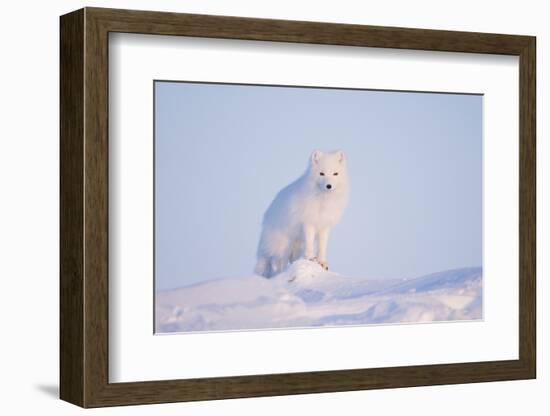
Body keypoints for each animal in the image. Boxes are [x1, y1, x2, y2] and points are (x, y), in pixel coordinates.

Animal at [256, 148, 350, 278]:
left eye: (335, 173)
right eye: (321, 173)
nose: (329, 186)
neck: (323, 202)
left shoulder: (324, 226)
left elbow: (322, 246)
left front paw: (322, 262)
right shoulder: (308, 223)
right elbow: (310, 243)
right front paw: (310, 258)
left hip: (295, 247)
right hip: (282, 247)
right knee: (277, 264)